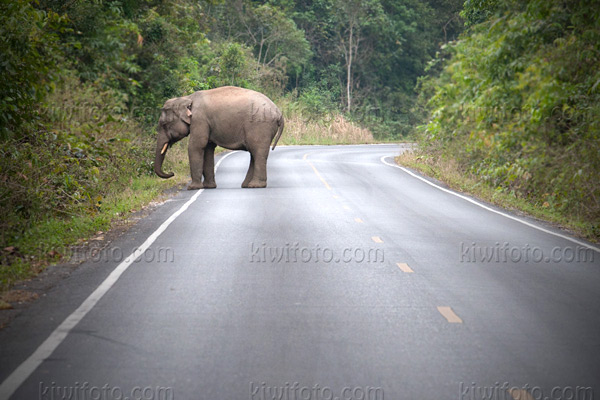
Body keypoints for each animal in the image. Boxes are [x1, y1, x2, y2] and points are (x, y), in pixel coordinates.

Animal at [155, 86, 286, 189]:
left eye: (163, 124)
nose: (172, 173)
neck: (187, 98)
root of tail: (279, 113)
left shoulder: (200, 120)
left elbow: (196, 146)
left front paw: (193, 188)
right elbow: (208, 148)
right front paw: (209, 187)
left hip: (260, 126)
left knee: (258, 152)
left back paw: (255, 186)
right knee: (254, 153)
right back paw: (246, 185)